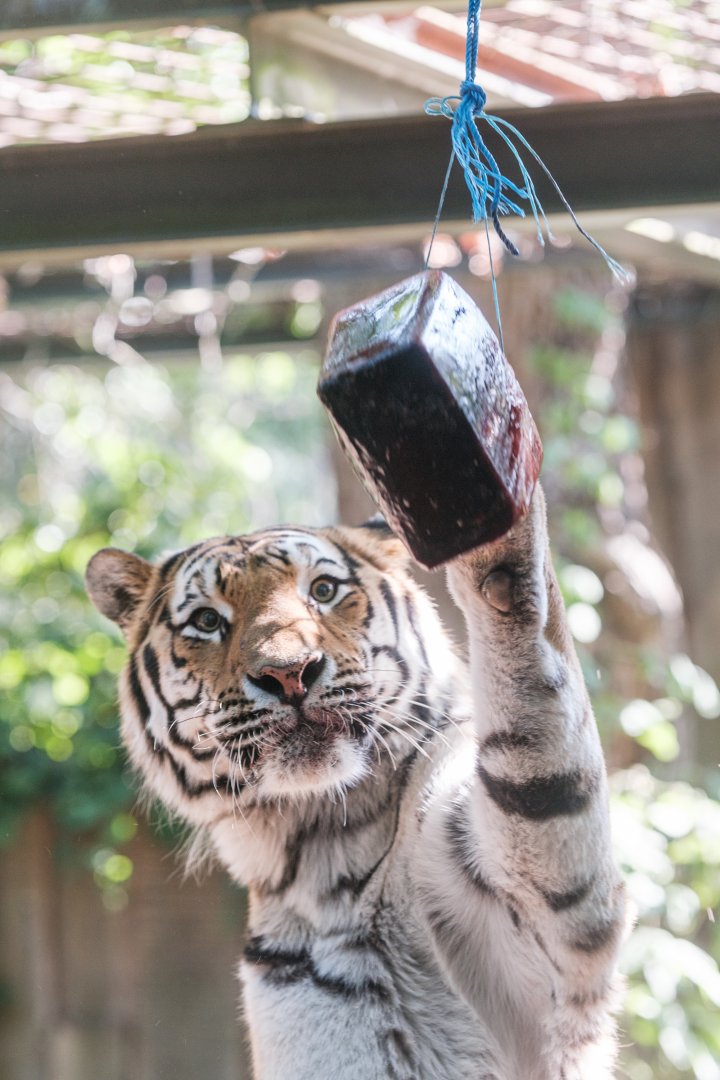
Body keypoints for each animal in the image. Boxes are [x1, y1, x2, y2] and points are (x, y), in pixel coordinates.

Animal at [85, 485, 626, 1080]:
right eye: (207, 621)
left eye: (323, 590)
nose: (288, 673)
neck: (317, 858)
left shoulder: (546, 934)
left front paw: (498, 544)